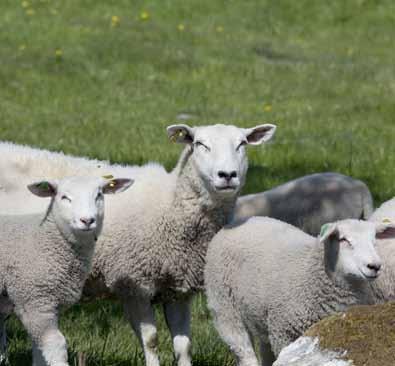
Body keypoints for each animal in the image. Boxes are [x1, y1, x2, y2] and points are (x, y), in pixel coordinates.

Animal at [0, 176, 134, 364]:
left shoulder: (50, 306)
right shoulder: (34, 301)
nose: (87, 220)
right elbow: (56, 344)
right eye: (64, 197)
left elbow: (40, 353)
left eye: (99, 195)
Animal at [204, 217, 392, 366]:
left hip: (261, 316)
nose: (375, 266)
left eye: (374, 241)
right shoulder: (284, 333)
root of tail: (236, 222)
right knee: (243, 350)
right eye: (344, 240)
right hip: (224, 307)